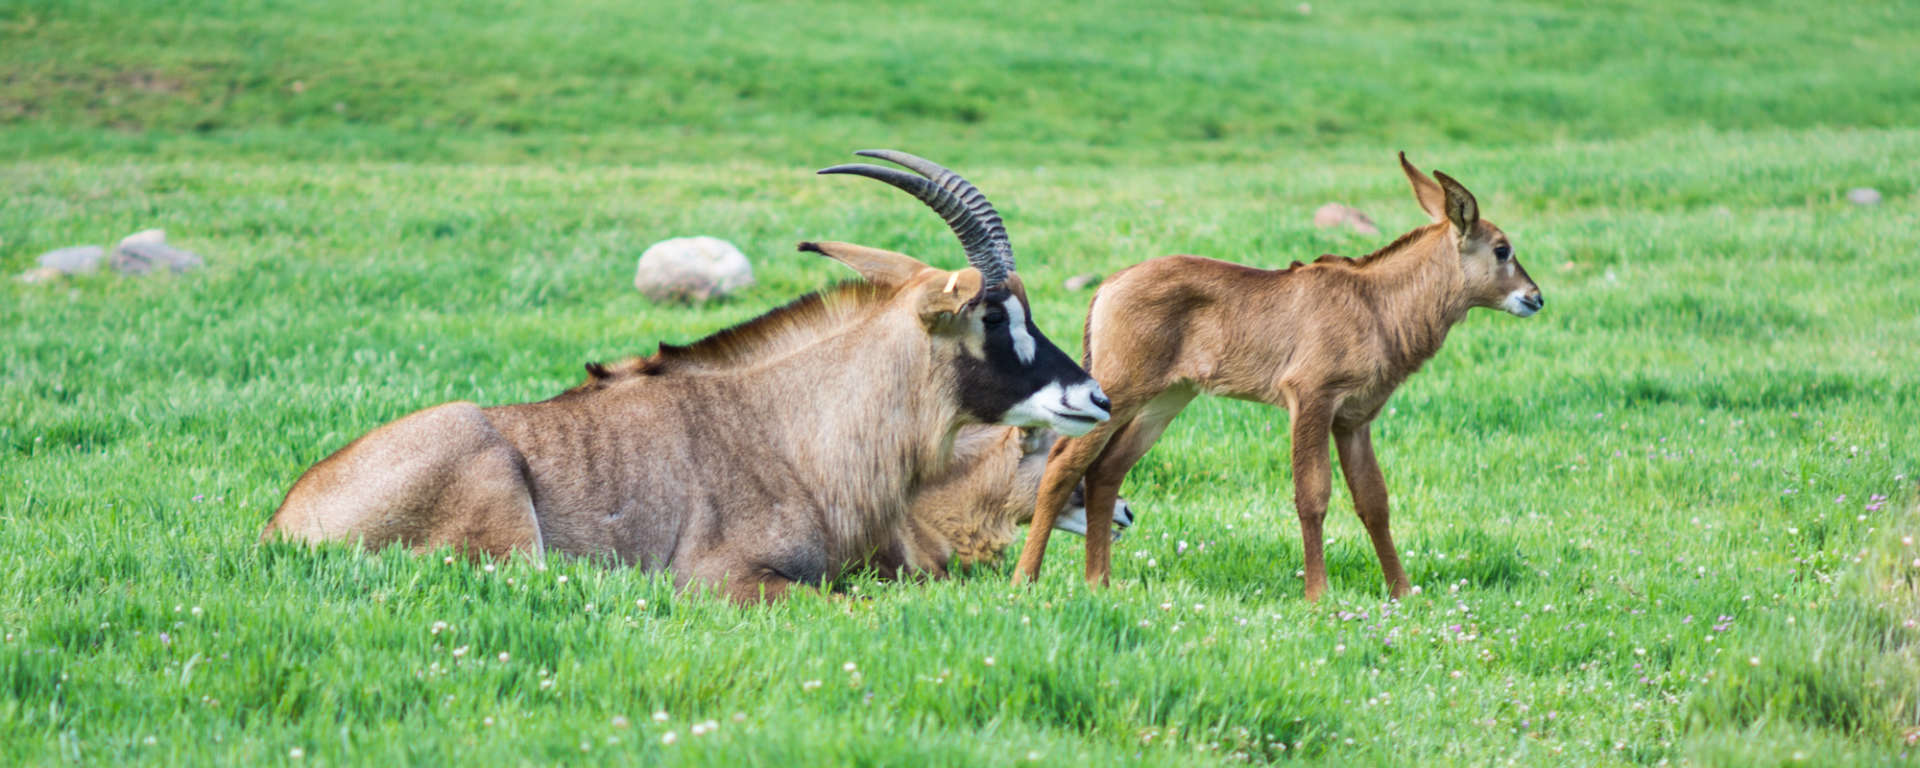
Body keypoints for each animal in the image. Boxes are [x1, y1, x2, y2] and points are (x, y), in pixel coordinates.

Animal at [262, 150, 1112, 603]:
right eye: (993, 316)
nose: (1095, 396)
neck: (795, 425)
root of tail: (285, 524)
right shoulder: (726, 579)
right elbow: (846, 601)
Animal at [1012, 153, 1543, 600]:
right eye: (1502, 249)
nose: (1535, 297)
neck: (1378, 304)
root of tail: (1106, 287)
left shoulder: (1354, 420)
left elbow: (1374, 500)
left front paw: (1403, 592)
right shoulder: (1309, 398)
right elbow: (1312, 494)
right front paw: (1318, 595)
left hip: (1166, 400)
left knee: (1107, 469)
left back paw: (1099, 582)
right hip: (1119, 391)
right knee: (1063, 464)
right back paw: (1027, 578)